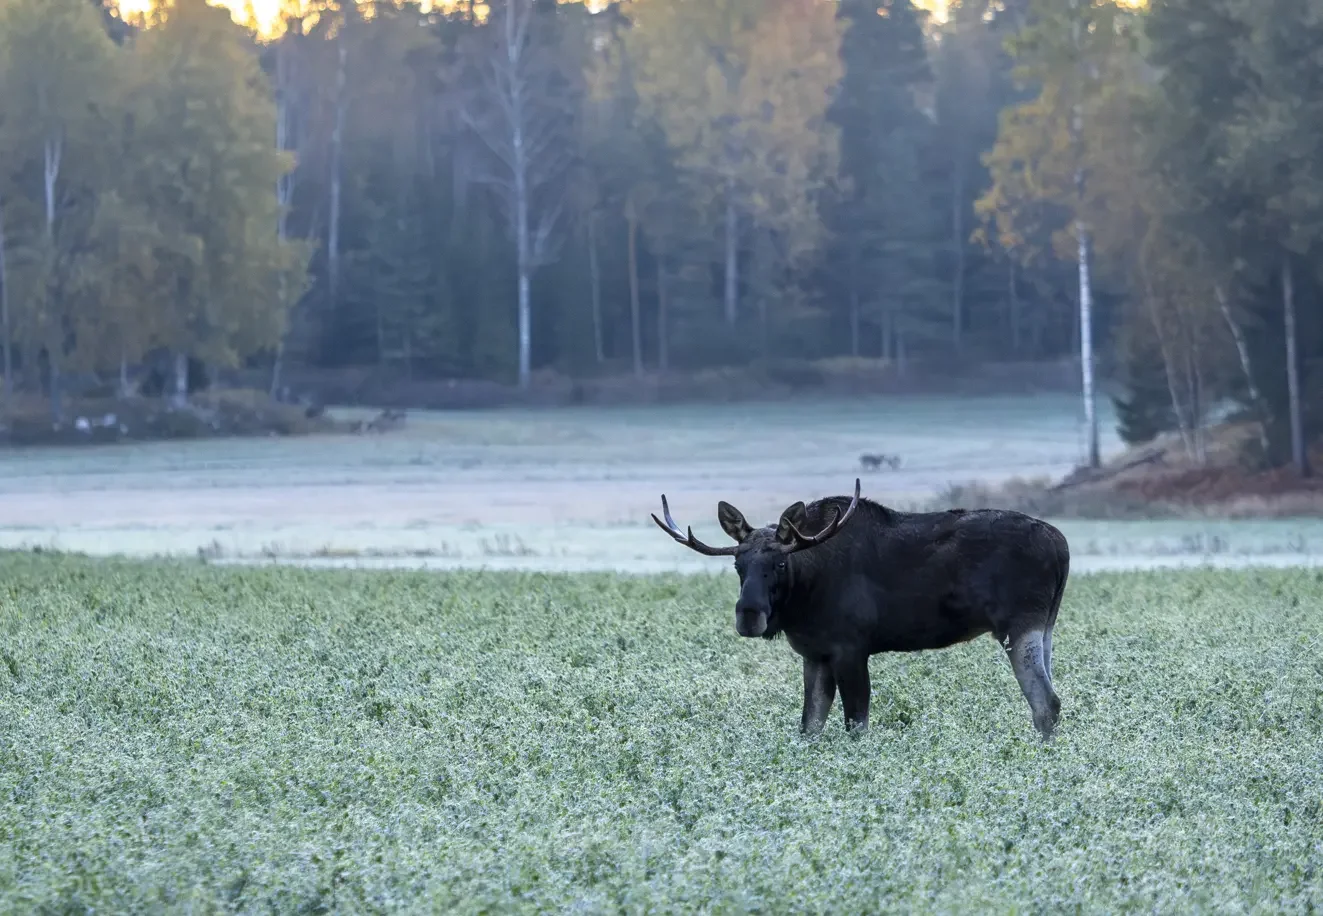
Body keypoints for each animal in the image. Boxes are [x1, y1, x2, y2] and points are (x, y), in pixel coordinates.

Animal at [650, 479, 1070, 740]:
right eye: (738, 564)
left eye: (780, 564)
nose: (749, 615)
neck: (805, 592)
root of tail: (1061, 544)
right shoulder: (815, 655)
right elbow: (809, 725)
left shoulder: (850, 649)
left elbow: (856, 724)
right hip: (1045, 629)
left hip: (1019, 626)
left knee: (1046, 702)